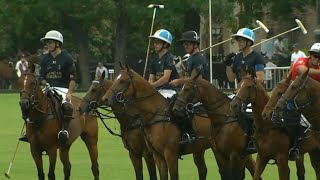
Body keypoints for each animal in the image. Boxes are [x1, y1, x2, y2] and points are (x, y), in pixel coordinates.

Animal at [102, 64, 258, 180]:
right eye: (115, 80)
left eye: (122, 81)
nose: (105, 99)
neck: (155, 115)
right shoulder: (157, 155)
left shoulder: (169, 154)